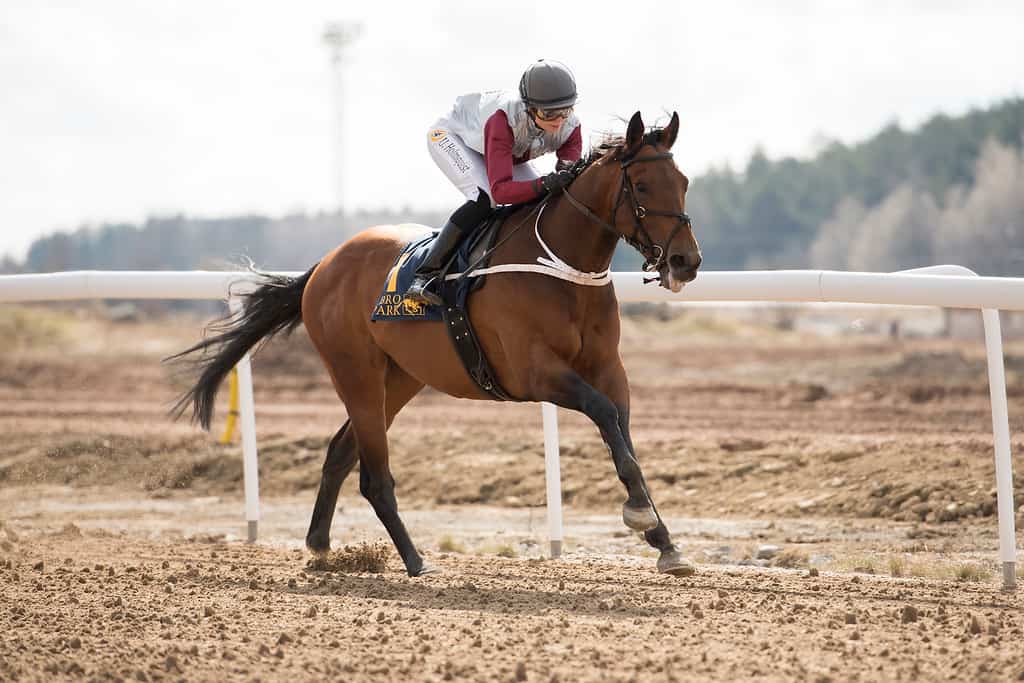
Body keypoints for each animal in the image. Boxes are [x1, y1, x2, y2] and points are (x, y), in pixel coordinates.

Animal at [174, 111, 704, 577]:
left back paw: (320, 546)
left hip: (401, 379)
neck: (561, 267)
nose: (686, 261)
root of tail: (324, 264)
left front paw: (664, 541)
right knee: (374, 475)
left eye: (683, 182)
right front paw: (643, 516)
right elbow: (605, 415)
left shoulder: (610, 371)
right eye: (641, 186)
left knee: (341, 452)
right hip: (356, 374)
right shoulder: (536, 373)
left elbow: (623, 437)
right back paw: (414, 560)